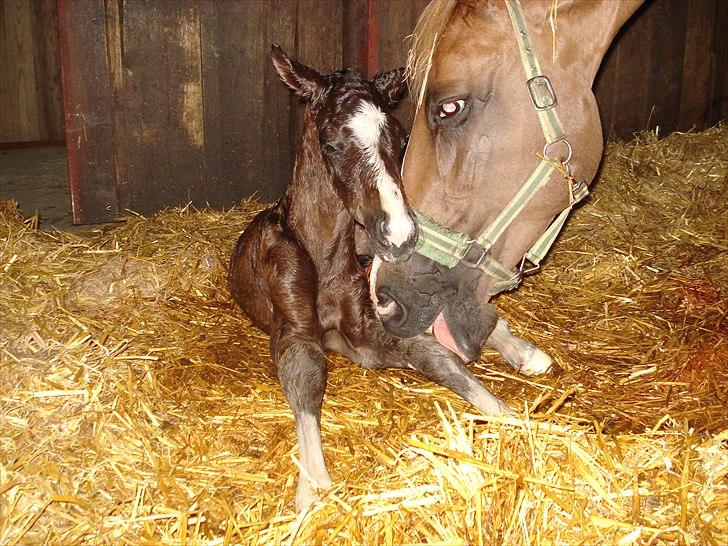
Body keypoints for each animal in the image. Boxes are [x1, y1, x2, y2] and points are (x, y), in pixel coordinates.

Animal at [230, 45, 510, 510]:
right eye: (331, 143)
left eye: (399, 141)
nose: (400, 235)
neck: (323, 254)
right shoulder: (297, 332)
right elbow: (306, 377)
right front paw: (313, 490)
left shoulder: (365, 328)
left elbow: (434, 357)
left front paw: (513, 418)